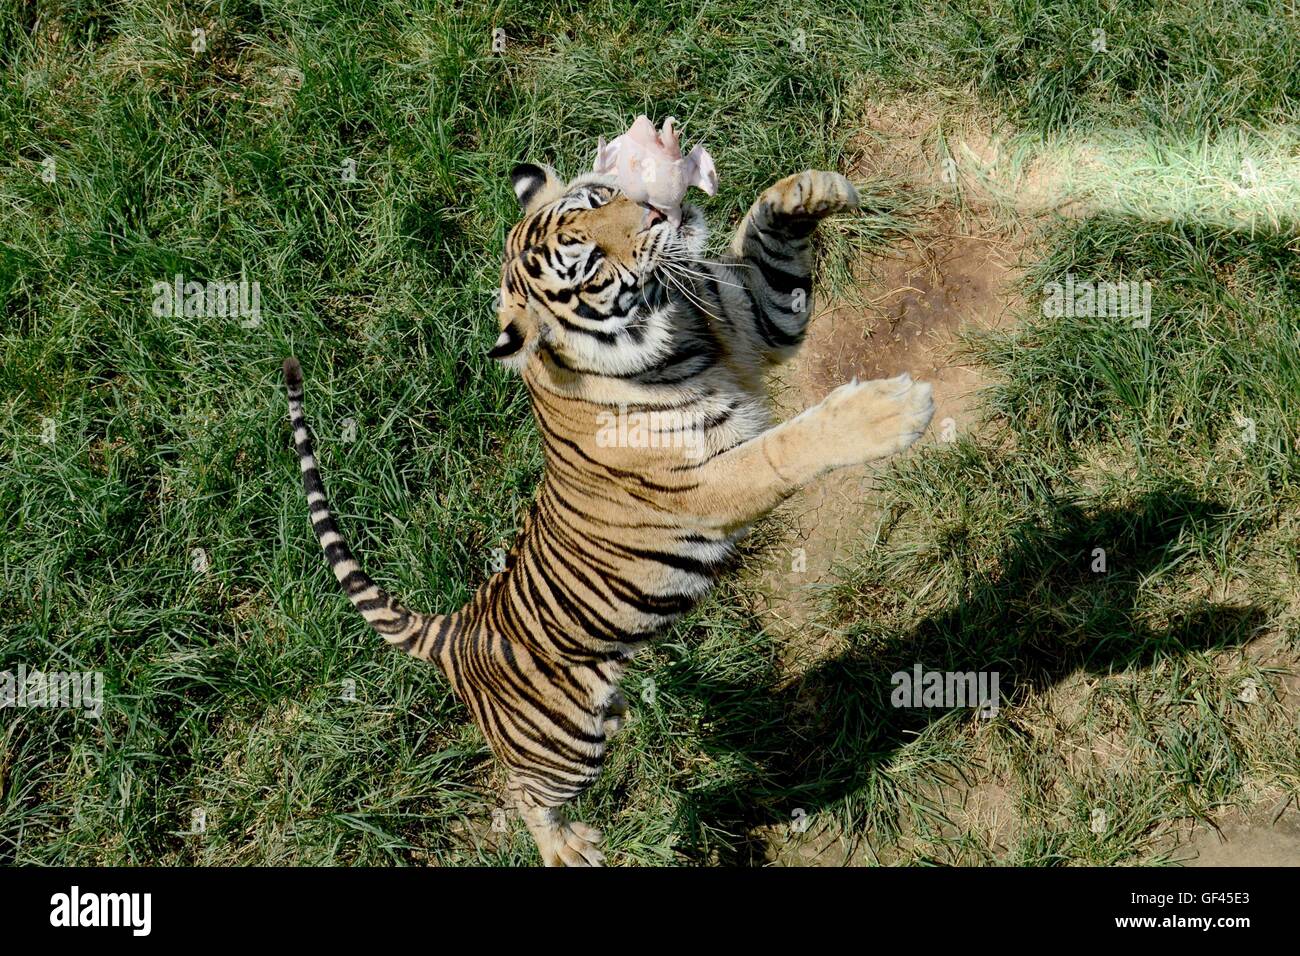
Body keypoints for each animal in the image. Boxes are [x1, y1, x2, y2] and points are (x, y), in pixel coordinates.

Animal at [282, 164, 935, 866]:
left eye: (598, 198)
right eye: (590, 262)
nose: (658, 213)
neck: (679, 328)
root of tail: (453, 631)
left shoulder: (759, 321)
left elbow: (767, 242)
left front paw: (814, 188)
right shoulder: (708, 481)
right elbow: (789, 446)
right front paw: (892, 410)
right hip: (565, 745)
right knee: (525, 794)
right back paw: (568, 848)